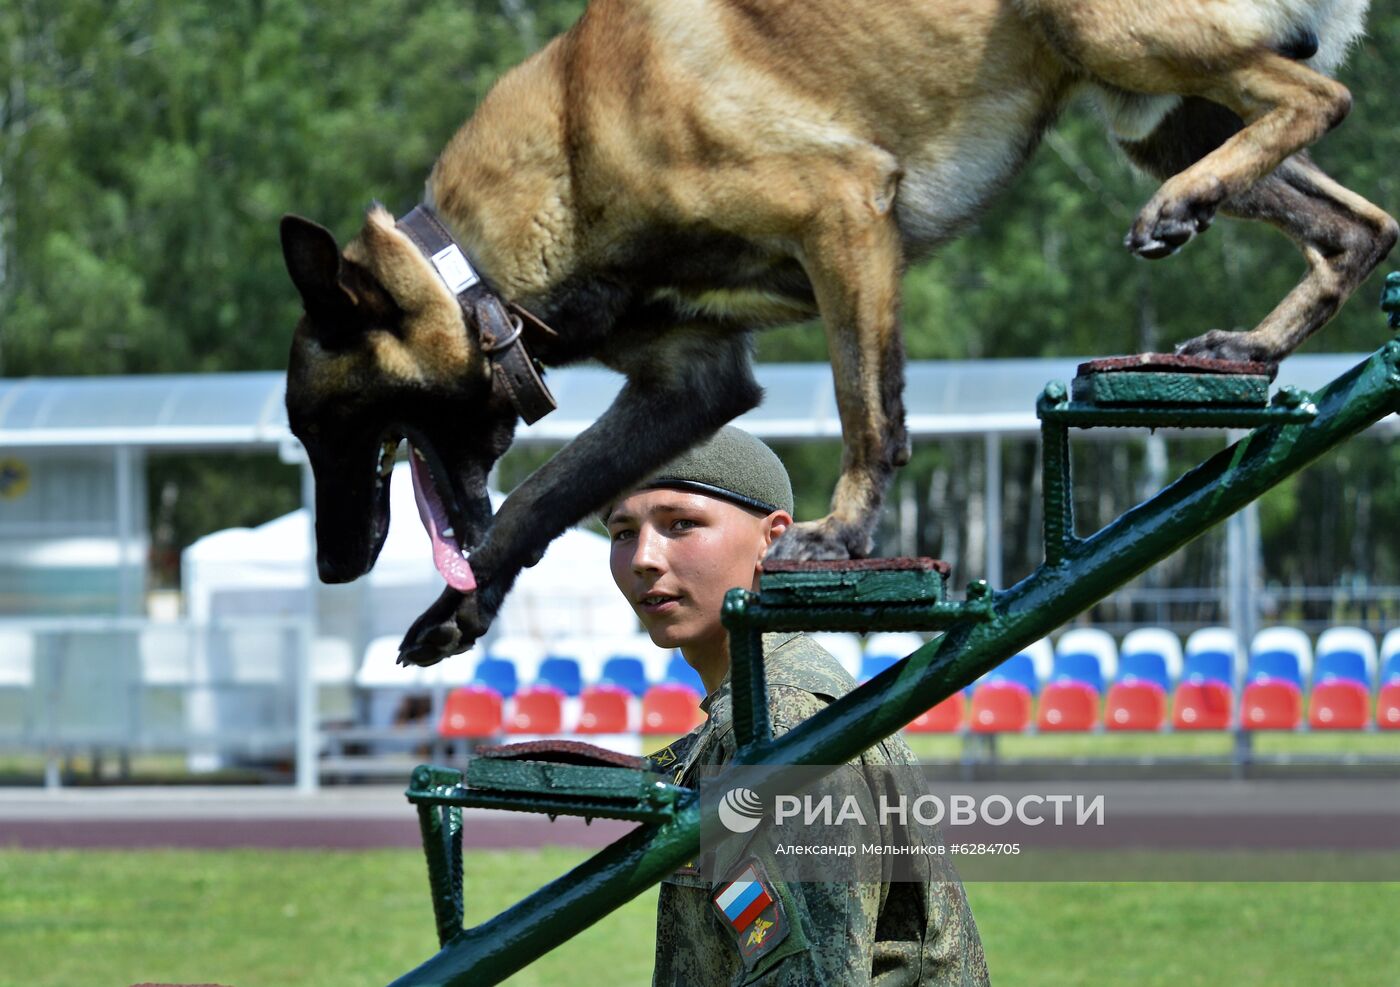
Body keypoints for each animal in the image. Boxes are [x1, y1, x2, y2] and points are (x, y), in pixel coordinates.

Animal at [281, 0, 1400, 666]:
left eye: (323, 430)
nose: (331, 569)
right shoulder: (689, 382)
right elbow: (541, 497)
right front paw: (459, 610)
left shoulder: (842, 216)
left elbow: (870, 407)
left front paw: (844, 534)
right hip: (1154, 112)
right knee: (1360, 225)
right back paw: (1250, 346)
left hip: (1109, 36)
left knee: (1321, 98)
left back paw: (1182, 209)